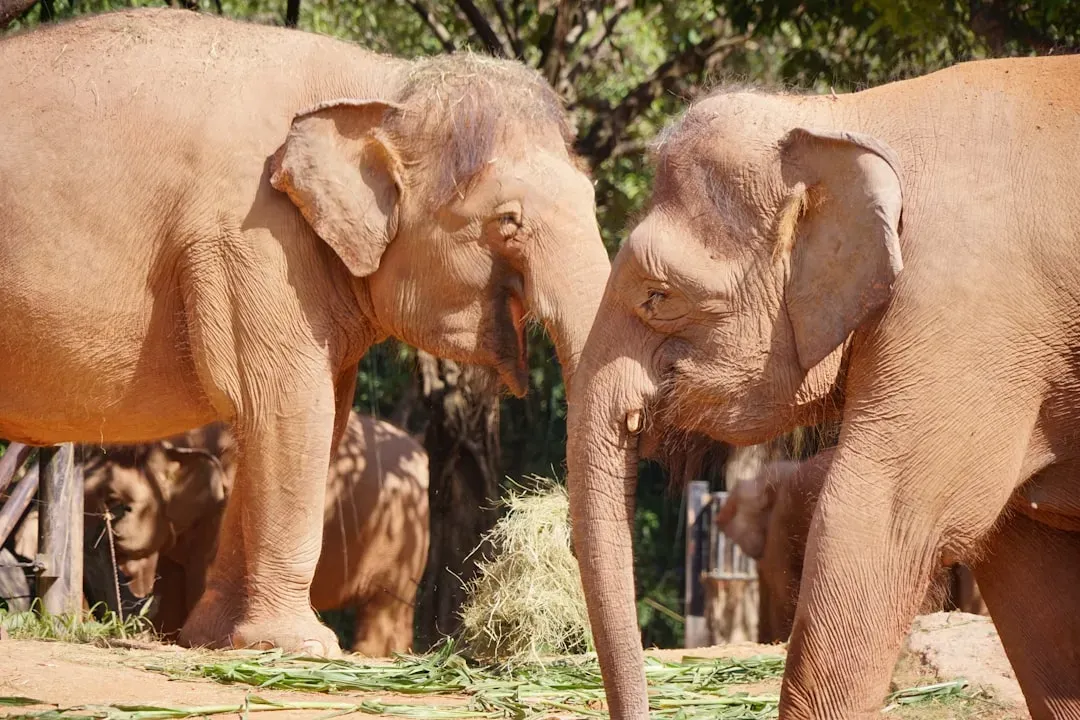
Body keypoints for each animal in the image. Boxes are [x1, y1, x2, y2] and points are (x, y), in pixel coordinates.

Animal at [0, 7, 610, 655]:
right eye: (508, 221)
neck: (383, 82)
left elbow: (296, 417)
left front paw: (217, 640)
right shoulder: (250, 236)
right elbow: (289, 404)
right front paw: (301, 646)